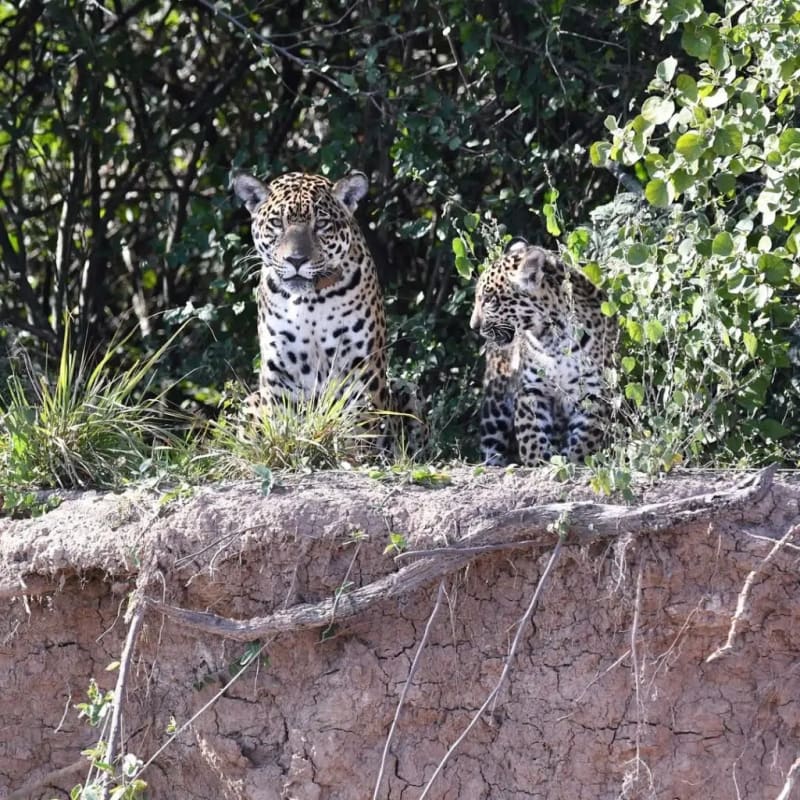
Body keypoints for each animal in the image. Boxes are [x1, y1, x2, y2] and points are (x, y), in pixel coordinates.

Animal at [232, 169, 421, 451]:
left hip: (407, 388)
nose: (296, 259)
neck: (309, 301)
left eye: (321, 224)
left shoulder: (361, 365)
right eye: (277, 223)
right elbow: (280, 422)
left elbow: (360, 425)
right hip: (250, 403)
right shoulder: (278, 370)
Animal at [470, 237, 613, 466]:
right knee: (491, 440)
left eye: (489, 299)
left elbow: (585, 439)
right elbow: (531, 434)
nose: (473, 326)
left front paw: (569, 460)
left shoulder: (594, 391)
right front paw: (540, 461)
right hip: (496, 400)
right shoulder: (531, 389)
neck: (554, 339)